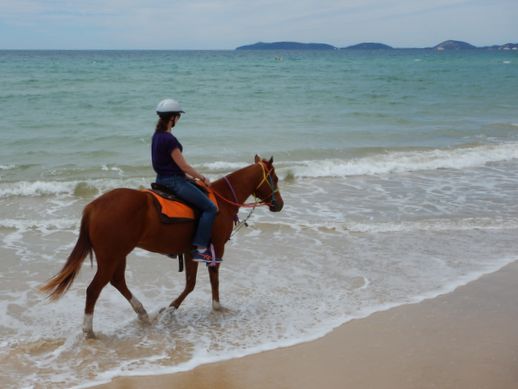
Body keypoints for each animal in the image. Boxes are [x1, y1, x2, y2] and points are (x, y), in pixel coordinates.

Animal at [40, 155, 284, 336]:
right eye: (275, 178)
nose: (279, 204)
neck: (221, 201)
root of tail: (93, 207)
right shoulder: (215, 249)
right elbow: (211, 279)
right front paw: (215, 307)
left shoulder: (190, 251)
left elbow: (190, 284)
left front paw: (168, 310)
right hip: (111, 256)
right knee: (94, 289)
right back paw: (89, 329)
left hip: (118, 254)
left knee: (117, 281)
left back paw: (142, 313)